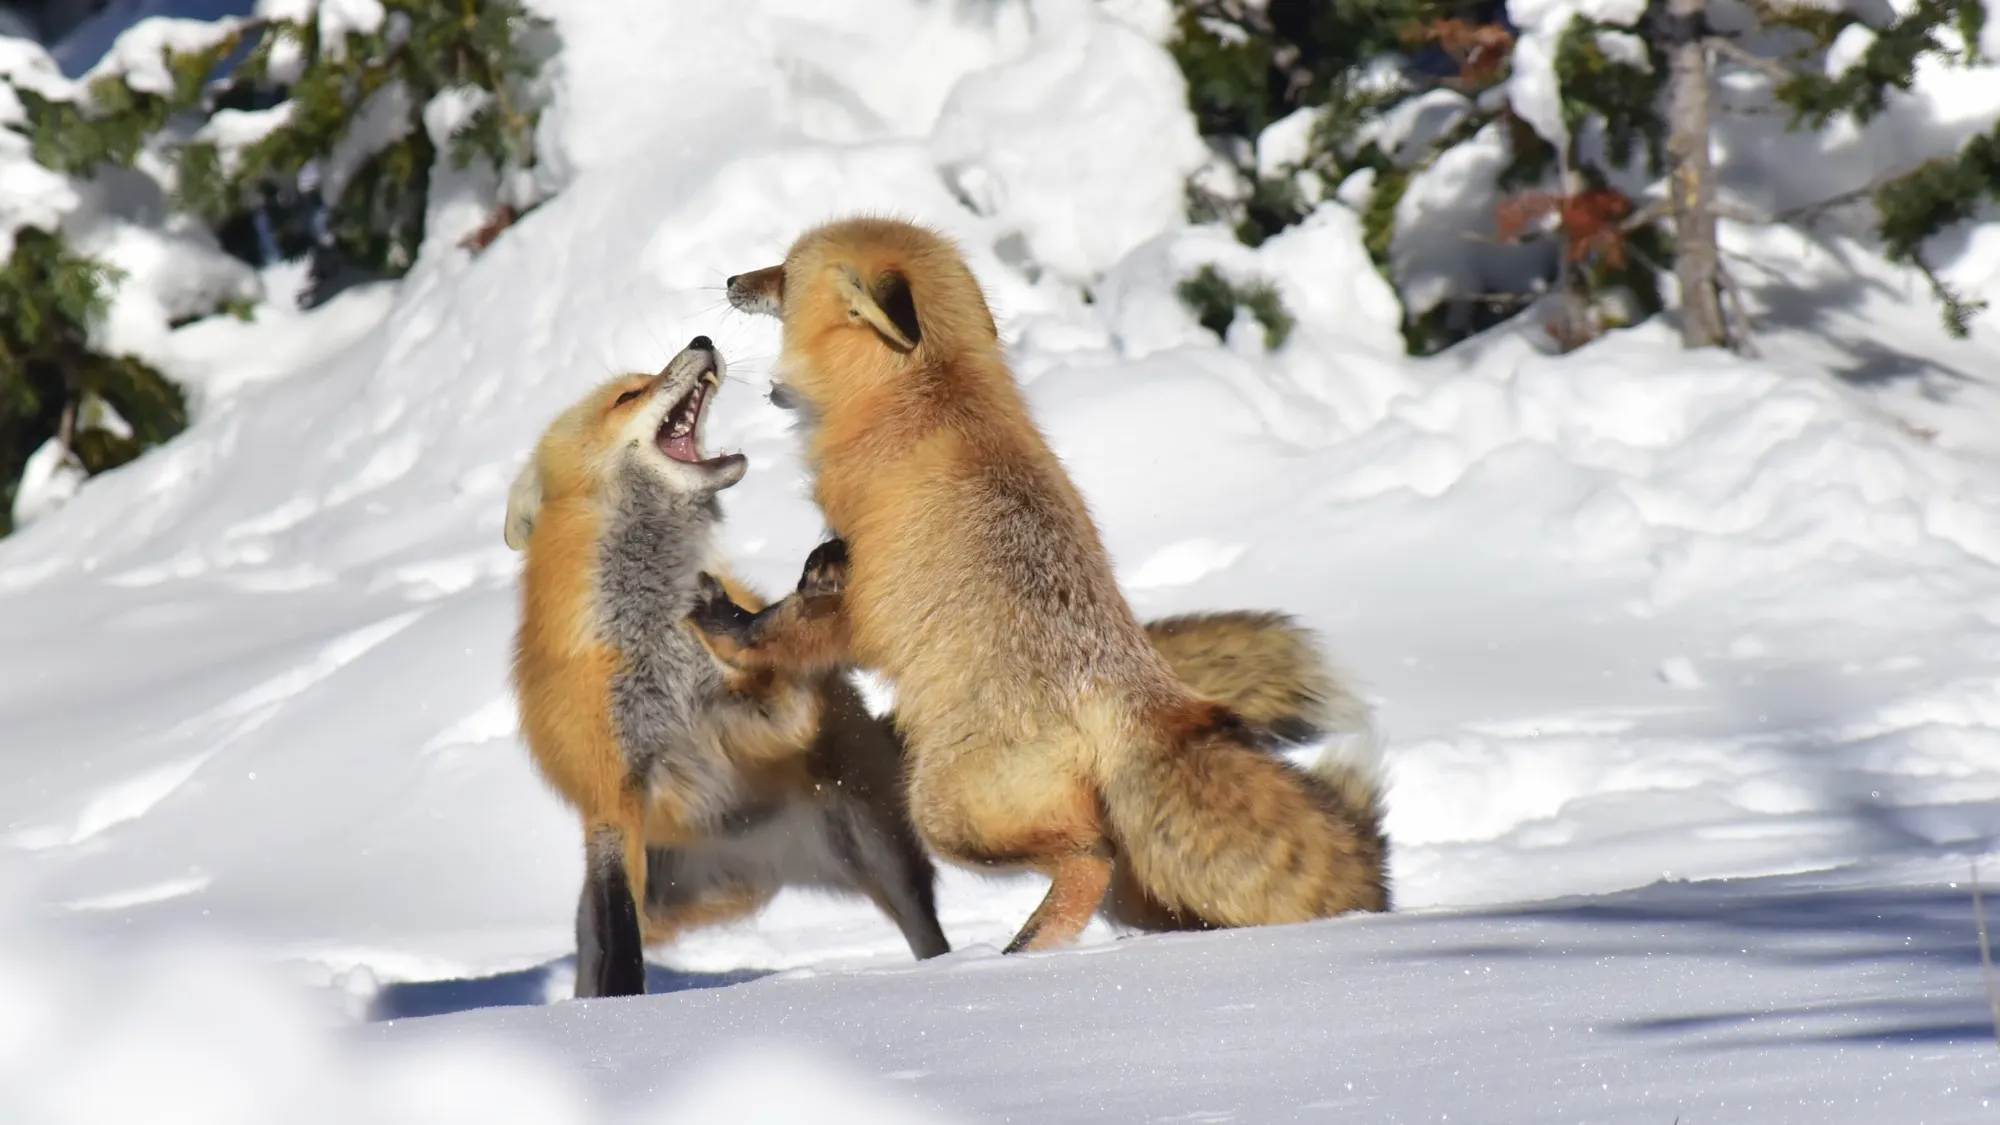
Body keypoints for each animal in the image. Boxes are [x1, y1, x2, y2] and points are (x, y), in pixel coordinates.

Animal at [503, 336, 951, 999]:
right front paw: (620, 1013)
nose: (701, 341)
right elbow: (622, 952)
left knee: (928, 933)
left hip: (878, 849)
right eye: (627, 396)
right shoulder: (612, 798)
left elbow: (783, 677)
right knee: (597, 951)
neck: (654, 636)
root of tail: (771, 859)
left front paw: (810, 593)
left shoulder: (753, 720)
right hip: (643, 897)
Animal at [712, 217, 1390, 953]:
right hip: (1134, 881)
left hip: (942, 808)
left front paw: (721, 623)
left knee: (1089, 857)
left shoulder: (859, 594)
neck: (925, 392)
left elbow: (778, 629)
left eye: (784, 271)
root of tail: (1146, 698)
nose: (731, 280)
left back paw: (1018, 956)